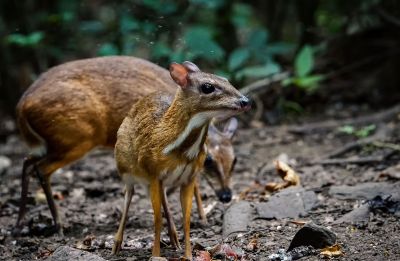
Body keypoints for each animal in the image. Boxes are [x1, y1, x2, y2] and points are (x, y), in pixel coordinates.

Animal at [15, 55, 239, 236]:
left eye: (234, 160)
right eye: (209, 161)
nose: (226, 195)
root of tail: (21, 106)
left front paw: (200, 217)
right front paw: (201, 218)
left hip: (54, 143)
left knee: (27, 162)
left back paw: (19, 224)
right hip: (76, 138)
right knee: (41, 169)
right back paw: (58, 226)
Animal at [111, 61, 250, 258]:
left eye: (226, 79)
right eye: (207, 87)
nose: (245, 101)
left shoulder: (188, 178)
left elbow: (186, 219)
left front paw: (188, 255)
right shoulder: (154, 173)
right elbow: (157, 219)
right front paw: (156, 256)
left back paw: (174, 239)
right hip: (125, 169)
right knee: (128, 195)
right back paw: (116, 245)